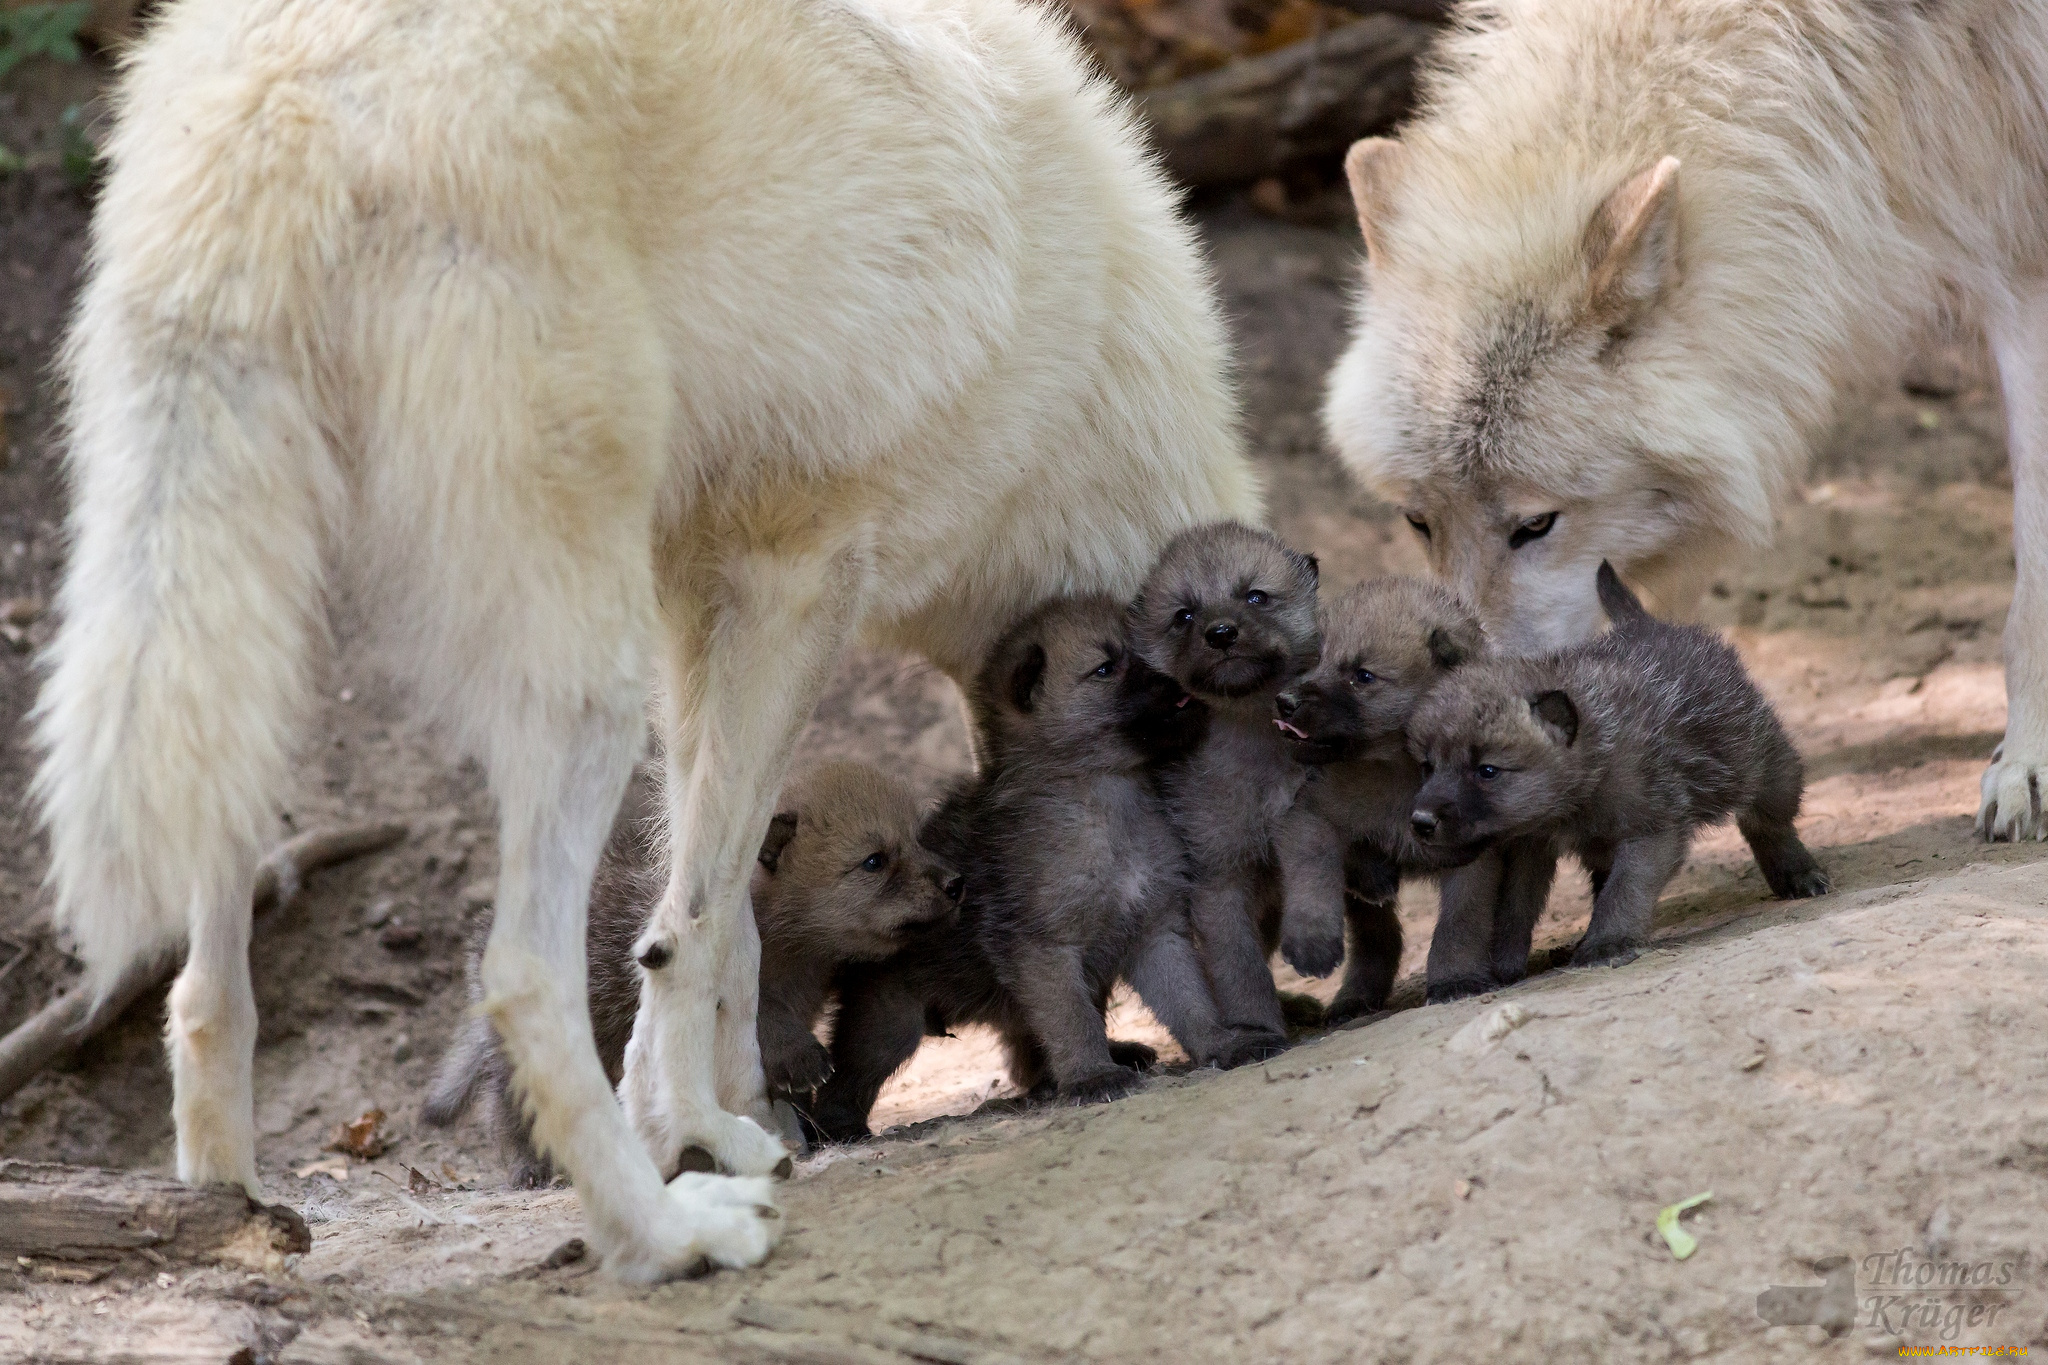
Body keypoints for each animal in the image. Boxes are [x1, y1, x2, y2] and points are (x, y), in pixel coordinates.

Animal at [32, 0, 1253, 1285]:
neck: (1084, 369)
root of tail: (288, 92)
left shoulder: (694, 603)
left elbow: (721, 910)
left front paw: (738, 1114)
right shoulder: (794, 585)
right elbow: (695, 920)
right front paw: (696, 1135)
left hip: (259, 641)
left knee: (201, 983)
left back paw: (226, 1214)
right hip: (582, 689)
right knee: (518, 978)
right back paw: (662, 1236)